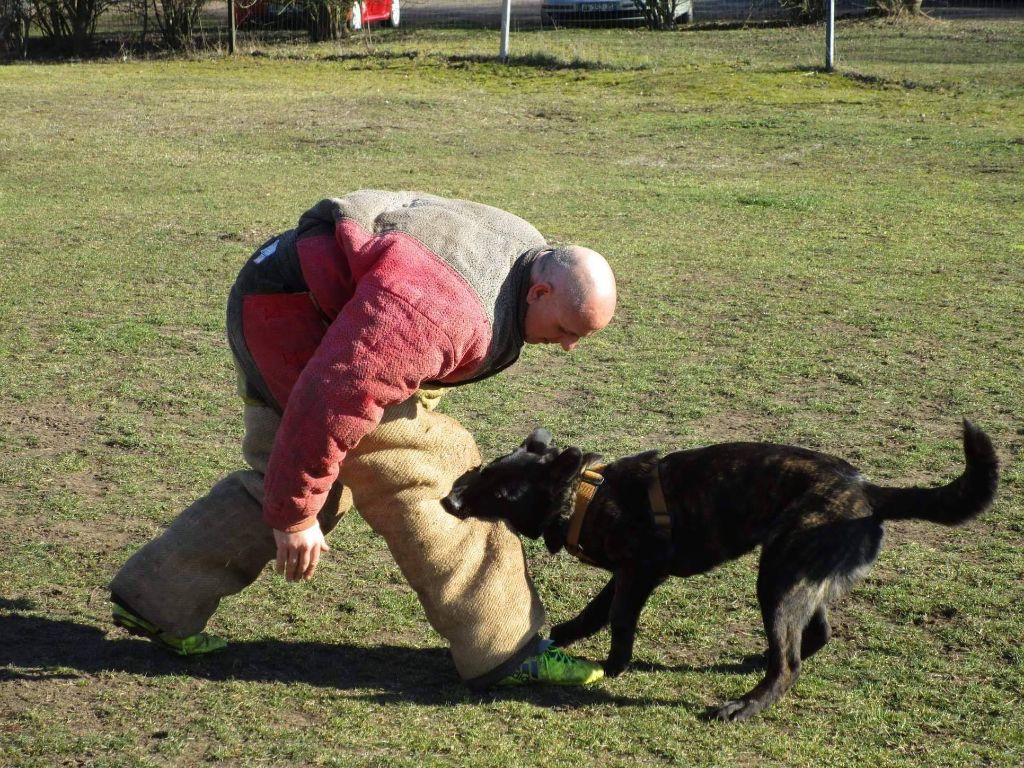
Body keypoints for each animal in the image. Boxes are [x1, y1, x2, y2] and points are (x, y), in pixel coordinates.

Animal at [442, 421, 999, 720]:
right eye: (486, 470)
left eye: (505, 491)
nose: (449, 500)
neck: (585, 495)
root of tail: (867, 491)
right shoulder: (625, 573)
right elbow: (593, 613)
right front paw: (558, 638)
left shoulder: (640, 573)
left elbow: (619, 623)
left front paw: (614, 667)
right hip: (795, 575)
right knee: (814, 634)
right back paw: (758, 663)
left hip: (777, 578)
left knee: (790, 663)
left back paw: (744, 706)